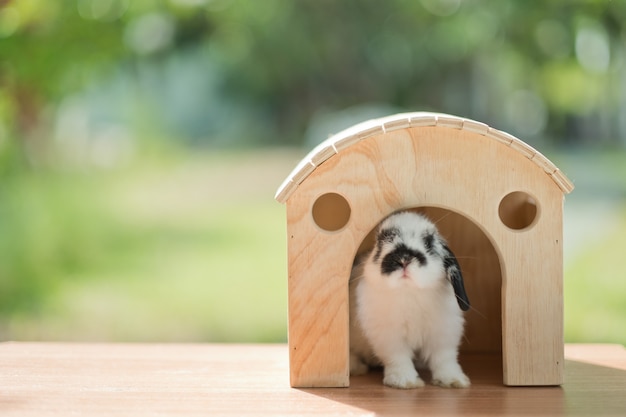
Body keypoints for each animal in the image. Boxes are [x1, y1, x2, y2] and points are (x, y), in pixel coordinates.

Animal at [346, 210, 468, 388]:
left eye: (428, 243)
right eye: (381, 242)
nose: (403, 259)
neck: (409, 291)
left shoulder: (443, 333)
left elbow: (444, 358)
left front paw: (453, 381)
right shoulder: (390, 338)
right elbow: (398, 358)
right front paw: (404, 382)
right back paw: (356, 368)